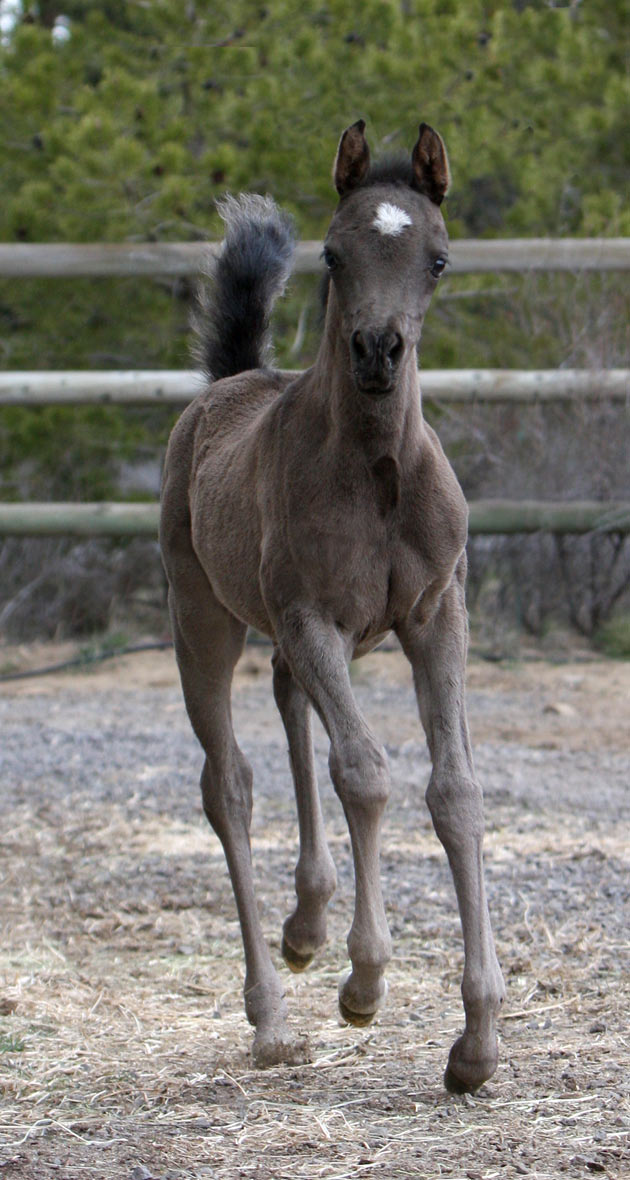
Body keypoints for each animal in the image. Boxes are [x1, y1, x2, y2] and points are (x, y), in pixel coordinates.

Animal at [160, 122, 507, 1095]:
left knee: (286, 707)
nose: (379, 351)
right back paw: (273, 1017)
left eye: (437, 259)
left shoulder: (436, 615)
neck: (379, 473)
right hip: (203, 616)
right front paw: (366, 979)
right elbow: (366, 772)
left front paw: (477, 1041)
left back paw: (306, 926)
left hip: (312, 637)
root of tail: (230, 383)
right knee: (229, 783)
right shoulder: (313, 616)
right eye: (333, 253)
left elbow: (455, 788)